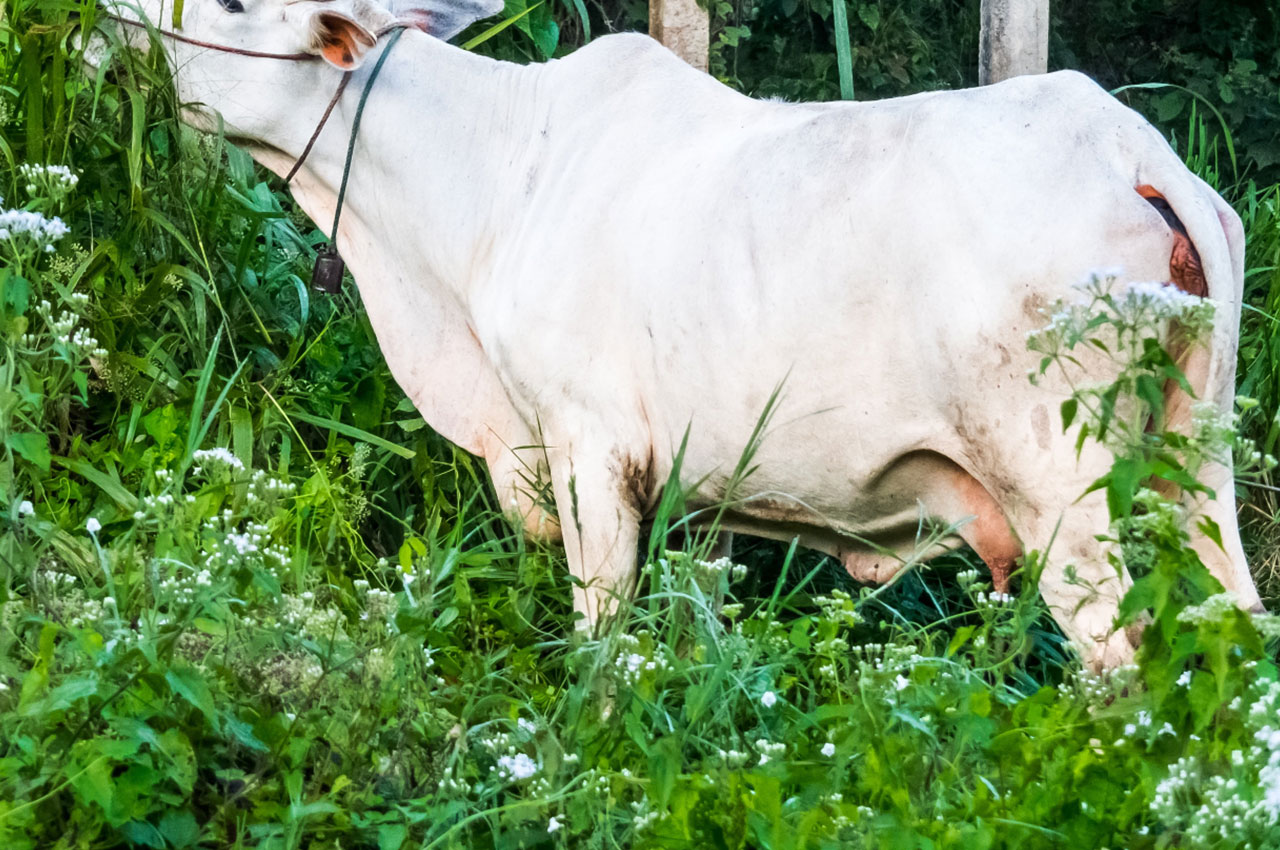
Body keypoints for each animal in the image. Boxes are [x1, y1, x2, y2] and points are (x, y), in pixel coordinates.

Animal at [99, 0, 1259, 665]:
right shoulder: (698, 493)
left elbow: (600, 645)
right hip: (1194, 468)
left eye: (235, 0)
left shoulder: (588, 448)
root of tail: (1132, 151)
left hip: (1064, 492)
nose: (106, 17)